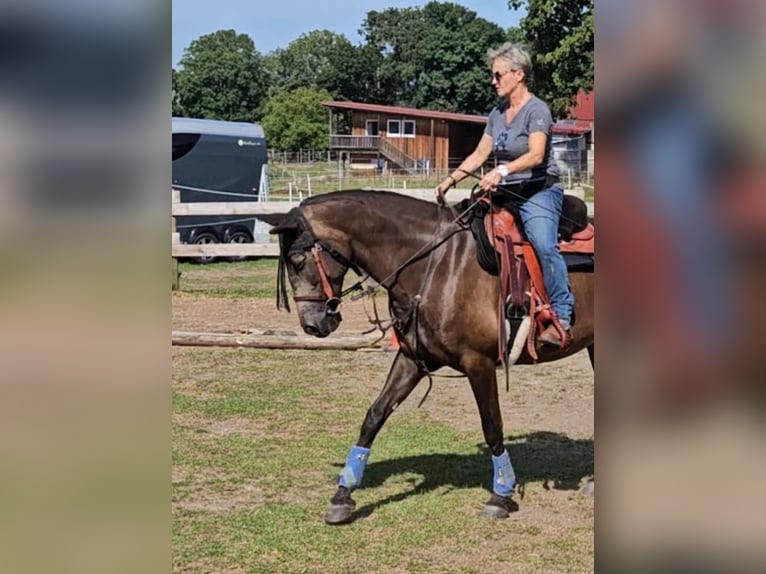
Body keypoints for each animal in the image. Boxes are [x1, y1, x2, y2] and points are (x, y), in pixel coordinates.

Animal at [272, 190, 600, 528]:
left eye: (298, 260)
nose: (312, 325)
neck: (437, 264)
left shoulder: (478, 363)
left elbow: (492, 425)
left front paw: (501, 494)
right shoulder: (413, 359)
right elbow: (374, 415)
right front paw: (342, 495)